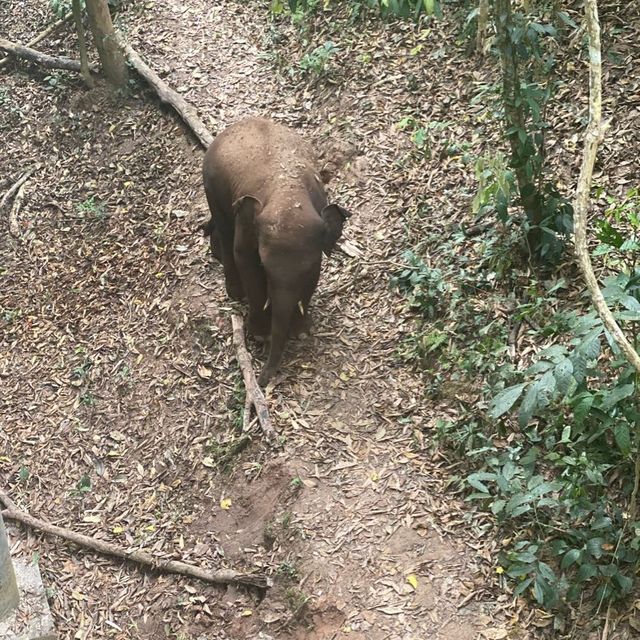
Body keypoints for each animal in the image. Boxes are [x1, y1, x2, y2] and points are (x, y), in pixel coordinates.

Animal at [200, 116, 350, 384]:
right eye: (265, 266)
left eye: (308, 269)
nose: (259, 381)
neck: (288, 194)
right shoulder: (247, 222)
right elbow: (244, 259)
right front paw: (261, 334)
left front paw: (300, 332)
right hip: (211, 187)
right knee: (225, 233)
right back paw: (235, 293)